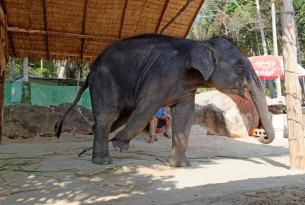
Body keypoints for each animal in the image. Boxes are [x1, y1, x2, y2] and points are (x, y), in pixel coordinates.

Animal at [53, 33, 274, 167]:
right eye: (239, 66)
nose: (261, 136)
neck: (198, 43)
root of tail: (91, 69)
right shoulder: (161, 74)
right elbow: (147, 106)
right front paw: (119, 144)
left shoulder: (186, 87)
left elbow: (184, 115)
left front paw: (181, 166)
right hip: (104, 79)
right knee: (109, 115)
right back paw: (103, 161)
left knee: (118, 117)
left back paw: (94, 149)